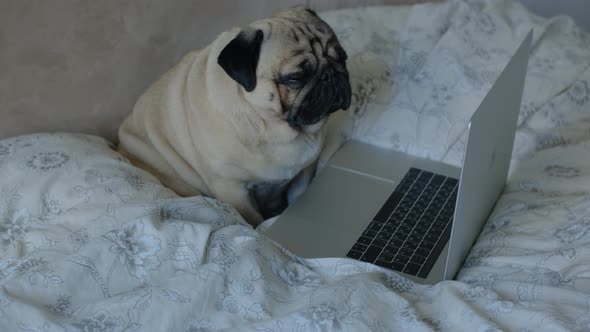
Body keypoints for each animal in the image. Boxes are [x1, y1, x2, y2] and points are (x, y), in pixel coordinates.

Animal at [118, 7, 354, 226]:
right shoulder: (232, 189)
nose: (331, 75)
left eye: (343, 58)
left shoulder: (304, 173)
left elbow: (298, 197)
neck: (271, 126)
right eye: (295, 78)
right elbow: (253, 219)